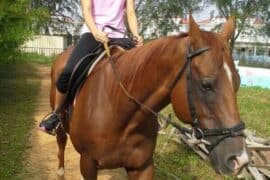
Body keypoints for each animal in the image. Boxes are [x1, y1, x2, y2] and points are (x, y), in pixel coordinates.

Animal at [50, 15, 249, 179]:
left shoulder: (142, 166)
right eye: (206, 85)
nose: (240, 160)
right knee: (61, 140)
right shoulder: (88, 163)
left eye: (238, 82)